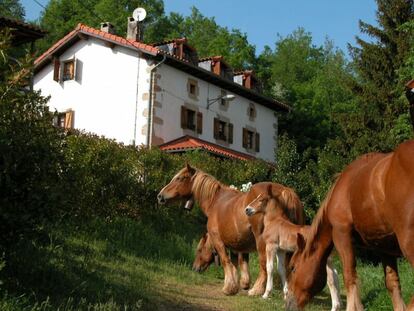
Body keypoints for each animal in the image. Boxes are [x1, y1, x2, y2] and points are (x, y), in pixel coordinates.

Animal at [158, 165, 304, 296]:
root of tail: (284, 191)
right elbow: (239, 263)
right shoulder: (237, 245)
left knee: (265, 266)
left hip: (264, 245)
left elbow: (226, 261)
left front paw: (229, 288)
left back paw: (256, 290)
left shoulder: (218, 240)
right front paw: (241, 284)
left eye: (180, 178)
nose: (160, 196)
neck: (215, 201)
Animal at [286, 141, 414, 311]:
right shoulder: (385, 247)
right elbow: (392, 283)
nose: (288, 303)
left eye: (293, 267)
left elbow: (349, 276)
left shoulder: (341, 234)